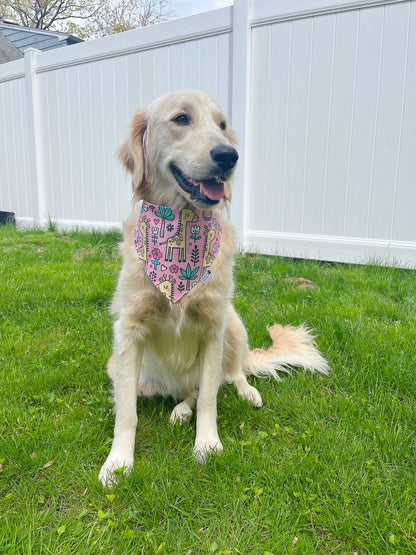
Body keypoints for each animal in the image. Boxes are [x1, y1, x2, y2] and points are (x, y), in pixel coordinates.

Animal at [99, 88, 330, 486]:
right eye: (181, 118)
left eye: (222, 125)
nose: (229, 155)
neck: (180, 223)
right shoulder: (128, 330)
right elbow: (126, 410)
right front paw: (118, 461)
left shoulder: (212, 327)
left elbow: (210, 395)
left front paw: (207, 444)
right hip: (122, 366)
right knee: (183, 393)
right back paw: (179, 410)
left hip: (233, 322)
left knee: (230, 375)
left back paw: (245, 392)